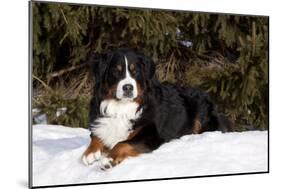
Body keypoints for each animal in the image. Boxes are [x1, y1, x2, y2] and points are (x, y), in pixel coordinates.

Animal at [81, 48, 232, 169]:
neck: (122, 107)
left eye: (135, 71)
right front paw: (90, 153)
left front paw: (109, 159)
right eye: (116, 71)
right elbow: (96, 137)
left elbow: (122, 143)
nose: (128, 87)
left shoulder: (150, 134)